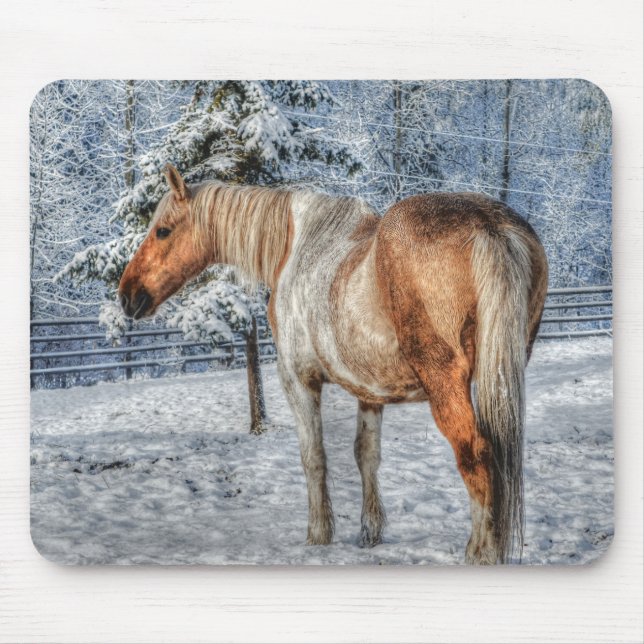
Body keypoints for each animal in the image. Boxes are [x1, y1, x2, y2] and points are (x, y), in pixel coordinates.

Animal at [119, 164, 548, 564]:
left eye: (162, 231)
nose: (127, 295)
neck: (295, 247)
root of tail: (489, 226)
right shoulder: (369, 390)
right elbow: (366, 455)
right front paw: (370, 531)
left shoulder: (297, 380)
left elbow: (314, 457)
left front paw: (319, 534)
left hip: (447, 385)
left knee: (476, 454)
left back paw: (481, 551)